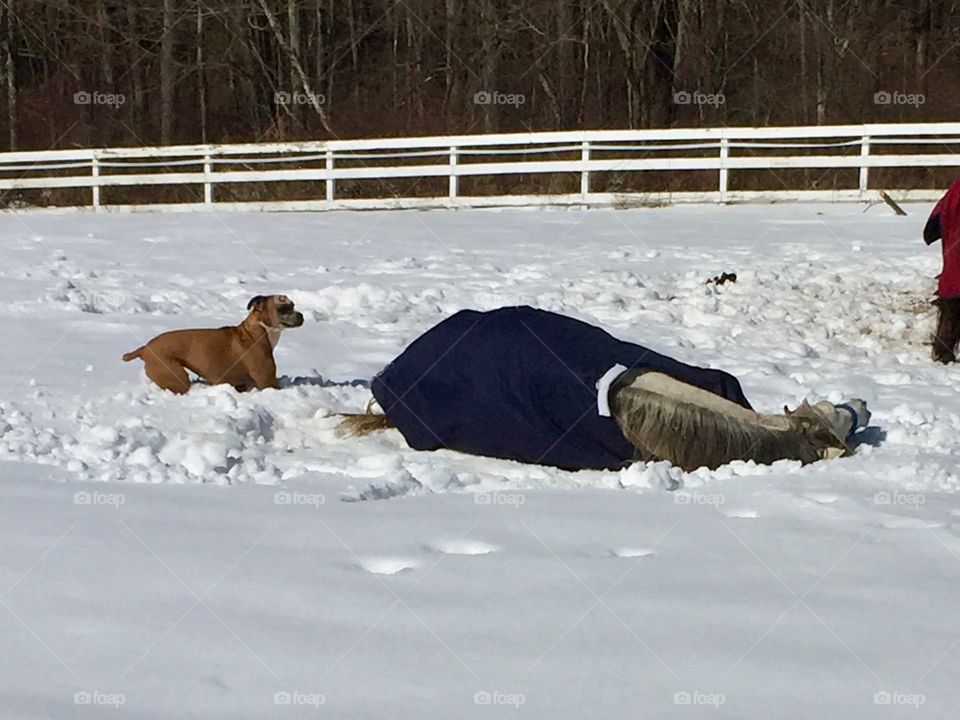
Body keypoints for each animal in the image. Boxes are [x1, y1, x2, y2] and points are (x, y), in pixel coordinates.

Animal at [122, 292, 304, 394]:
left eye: (293, 305)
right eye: (283, 308)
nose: (301, 315)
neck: (260, 329)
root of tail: (144, 348)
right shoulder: (267, 380)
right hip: (175, 375)